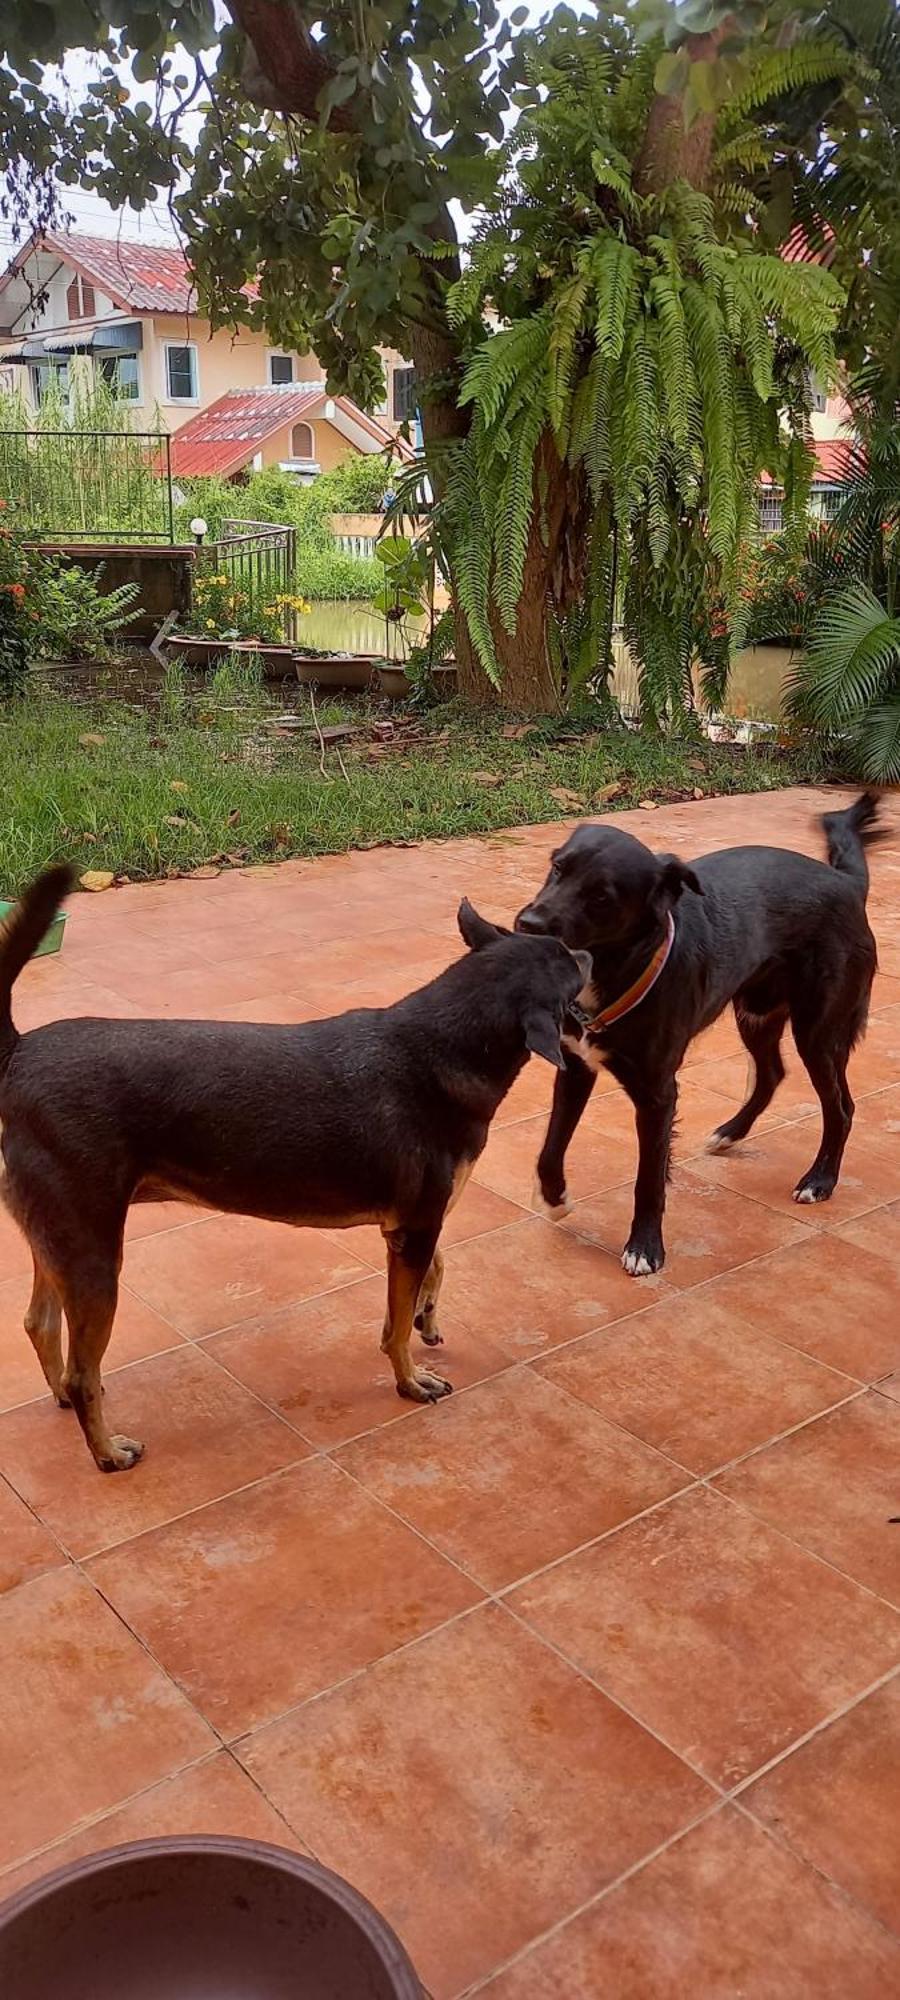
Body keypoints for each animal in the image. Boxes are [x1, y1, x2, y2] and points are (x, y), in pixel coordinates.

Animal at [0, 872, 588, 1472]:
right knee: (82, 1370)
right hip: (94, 1253)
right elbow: (395, 1327)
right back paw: (106, 1450)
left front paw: (427, 1313)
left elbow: (431, 1275)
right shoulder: (418, 1224)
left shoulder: (412, 1226)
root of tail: (18, 1053)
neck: (444, 1043)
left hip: (60, 1240)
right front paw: (411, 1381)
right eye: (570, 963)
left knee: (40, 1326)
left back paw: (64, 1400)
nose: (591, 951)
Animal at [516, 792, 876, 1272]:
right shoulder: (575, 1066)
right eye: (557, 867)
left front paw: (645, 1247)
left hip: (817, 1031)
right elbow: (551, 1145)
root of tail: (847, 883)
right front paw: (555, 1197)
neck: (615, 968)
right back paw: (732, 1133)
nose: (528, 924)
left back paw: (820, 1180)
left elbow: (649, 1178)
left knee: (841, 1107)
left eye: (601, 896)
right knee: (772, 1073)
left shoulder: (658, 1095)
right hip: (756, 1013)